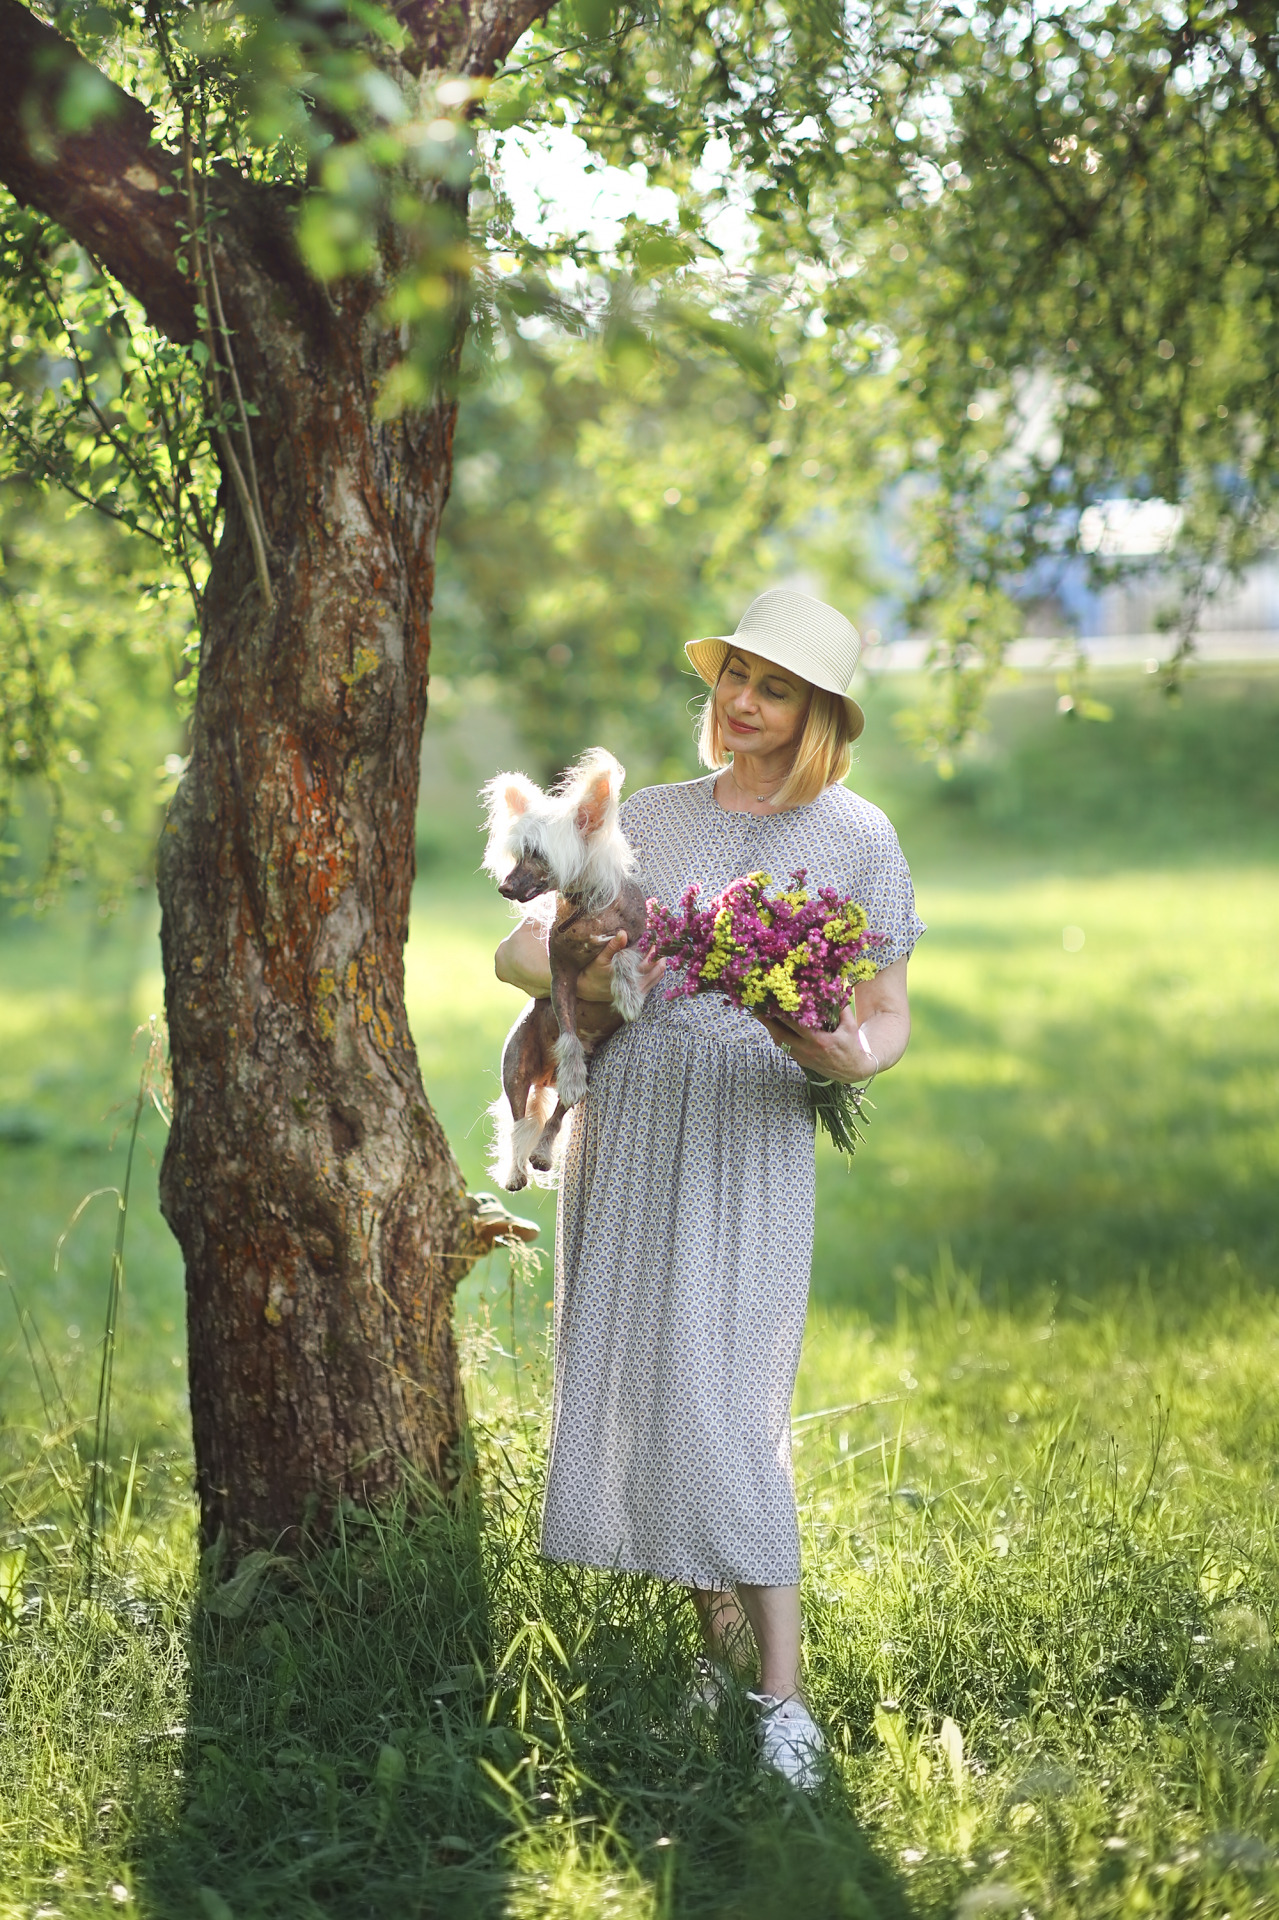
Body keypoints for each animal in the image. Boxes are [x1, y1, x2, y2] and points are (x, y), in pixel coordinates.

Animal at [483, 744, 652, 1182]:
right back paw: (517, 1171)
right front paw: (572, 1071)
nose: (503, 887)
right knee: (519, 1120)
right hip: (516, 1068)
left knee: (555, 1118)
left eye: (540, 855)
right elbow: (570, 1031)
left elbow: (624, 952)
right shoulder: (561, 975)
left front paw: (628, 994)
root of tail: (545, 1073)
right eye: (518, 854)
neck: (585, 908)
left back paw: (542, 1153)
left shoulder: (642, 940)